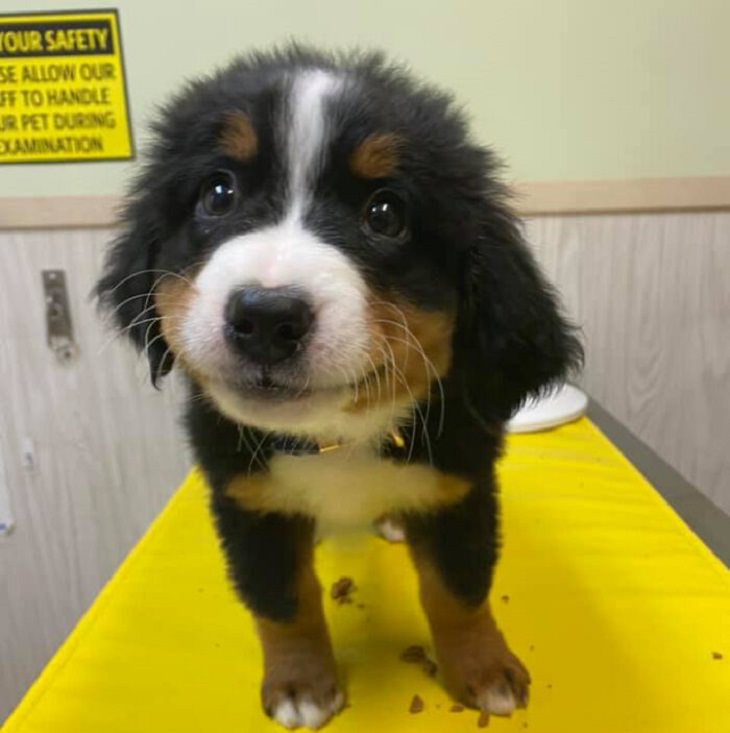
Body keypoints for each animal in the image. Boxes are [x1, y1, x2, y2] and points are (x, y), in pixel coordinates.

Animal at [96, 45, 580, 728]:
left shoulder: (462, 486)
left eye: (386, 214)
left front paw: (485, 670)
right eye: (218, 194)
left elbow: (459, 590)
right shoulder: (247, 501)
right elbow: (282, 602)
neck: (338, 436)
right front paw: (301, 684)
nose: (265, 317)